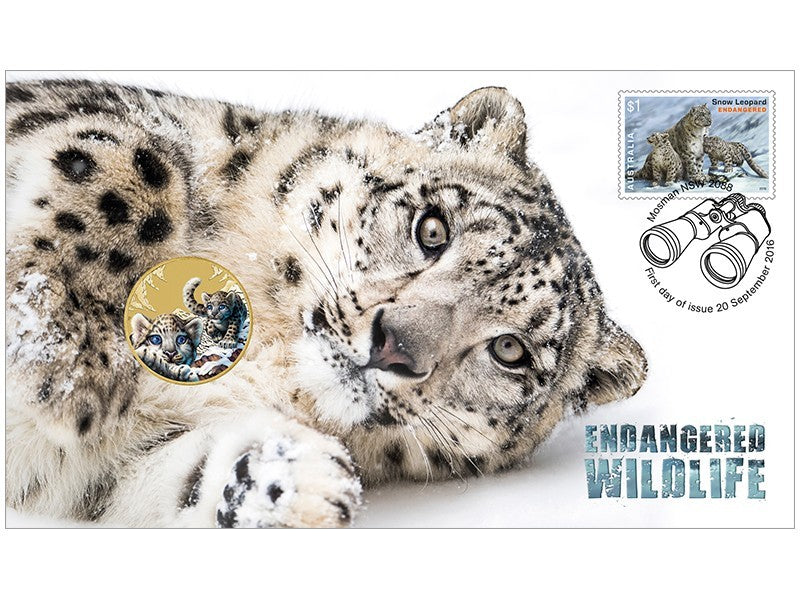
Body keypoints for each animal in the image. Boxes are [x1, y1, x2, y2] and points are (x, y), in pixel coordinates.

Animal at [5, 79, 647, 527]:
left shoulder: (100, 466)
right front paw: (69, 365)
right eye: (433, 229)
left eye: (511, 350)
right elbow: (132, 165)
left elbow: (170, 477)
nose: (394, 346)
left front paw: (292, 479)